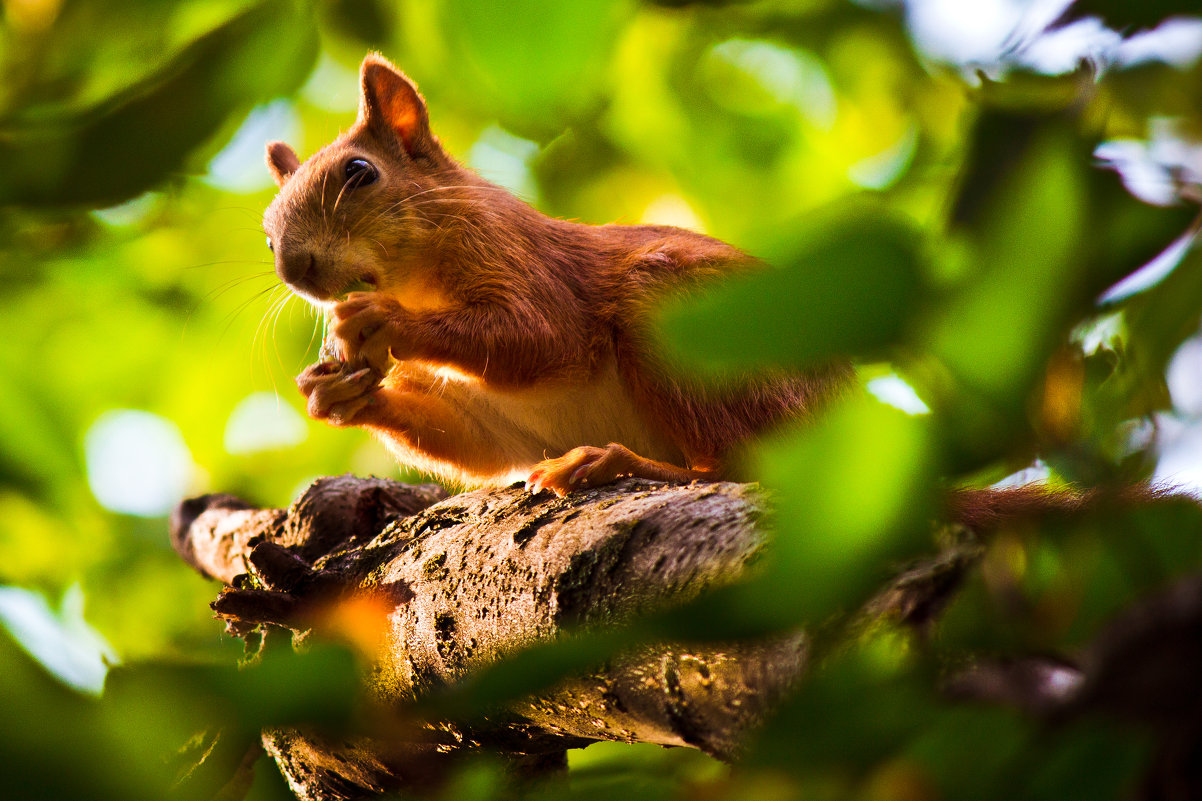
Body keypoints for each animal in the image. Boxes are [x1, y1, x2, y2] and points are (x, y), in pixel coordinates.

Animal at [263, 52, 851, 493]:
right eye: (267, 234)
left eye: (360, 172)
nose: (295, 270)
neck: (415, 285)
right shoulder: (486, 419)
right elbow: (477, 445)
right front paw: (331, 393)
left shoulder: (518, 256)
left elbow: (540, 336)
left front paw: (384, 319)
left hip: (686, 322)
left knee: (733, 466)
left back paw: (612, 463)